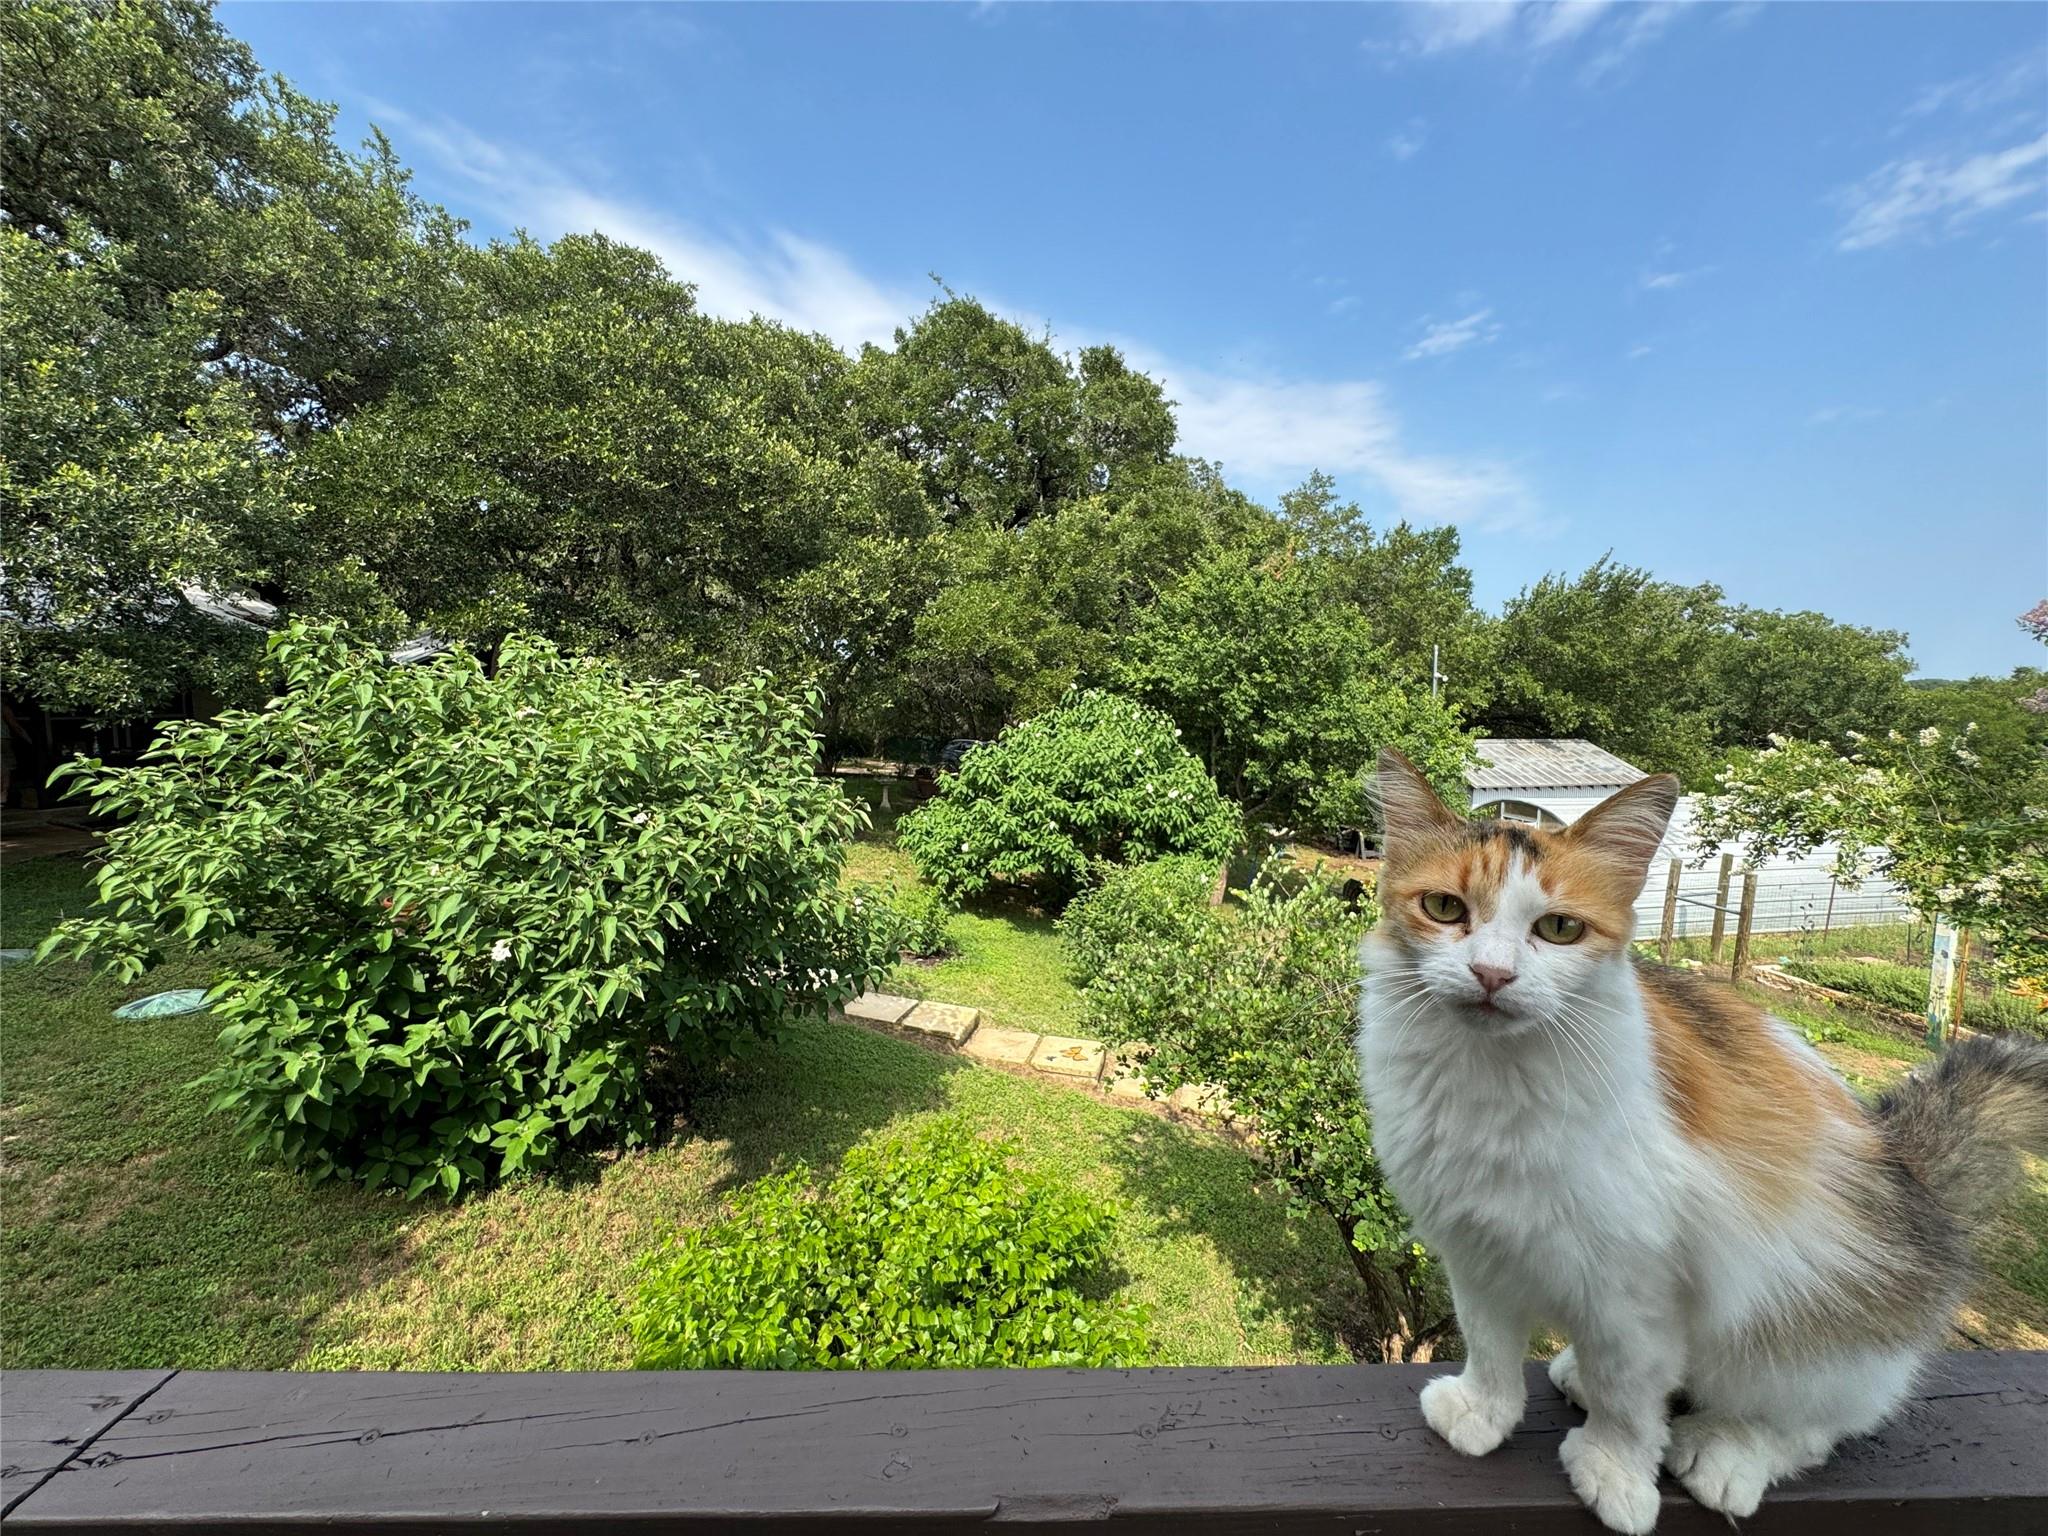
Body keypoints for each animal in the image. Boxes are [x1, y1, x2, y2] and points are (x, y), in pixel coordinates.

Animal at [1355, 749, 2048, 1534]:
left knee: (1817, 1425)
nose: (1492, 975)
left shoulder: (1635, 1287)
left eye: (1559, 928)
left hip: (1810, 1342)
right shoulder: (1478, 1246)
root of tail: (1912, 1167)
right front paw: (1483, 1414)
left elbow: (1627, 1396)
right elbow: (1491, 1344)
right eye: (1445, 909)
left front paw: (1615, 1473)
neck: (1488, 1080)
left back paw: (1727, 1451)